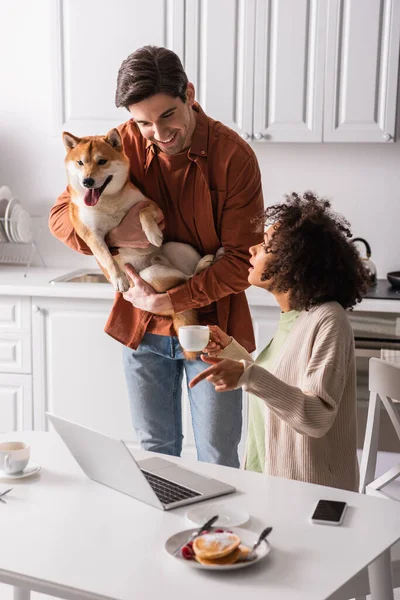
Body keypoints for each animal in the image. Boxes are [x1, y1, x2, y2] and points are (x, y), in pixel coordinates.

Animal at [62, 127, 217, 352]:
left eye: (102, 161)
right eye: (80, 163)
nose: (87, 181)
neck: (109, 201)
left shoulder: (151, 206)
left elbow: (143, 212)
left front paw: (153, 234)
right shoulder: (91, 235)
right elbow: (107, 256)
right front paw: (119, 279)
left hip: (176, 249)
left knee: (187, 281)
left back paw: (207, 261)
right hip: (150, 274)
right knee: (184, 281)